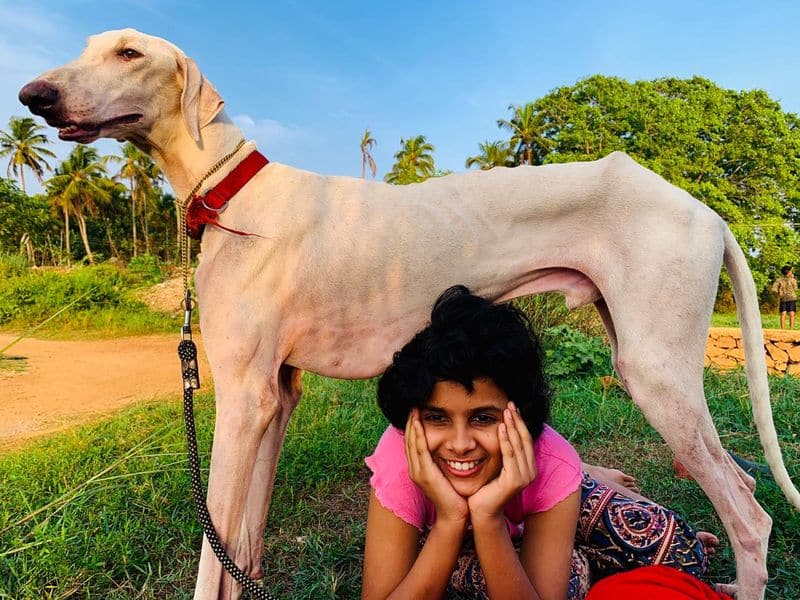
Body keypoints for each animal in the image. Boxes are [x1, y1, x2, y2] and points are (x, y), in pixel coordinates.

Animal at [18, 30, 800, 600]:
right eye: (89, 46)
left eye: (129, 52)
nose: (33, 95)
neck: (230, 190)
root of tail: (706, 211)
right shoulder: (276, 396)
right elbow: (241, 539)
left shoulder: (241, 398)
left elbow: (214, 555)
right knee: (745, 489)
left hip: (654, 371)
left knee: (751, 510)